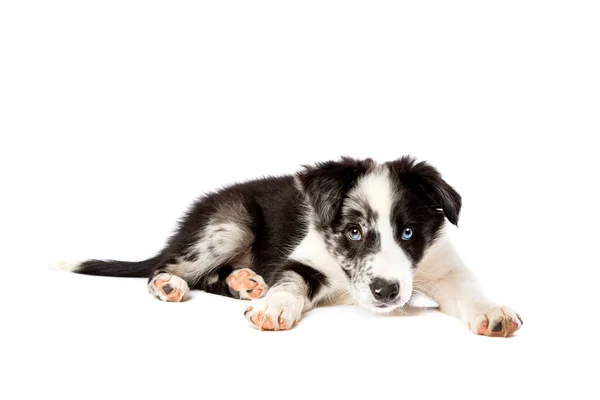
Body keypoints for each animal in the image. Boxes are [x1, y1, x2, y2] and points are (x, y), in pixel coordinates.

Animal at [61, 156, 520, 338]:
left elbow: (470, 290)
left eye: (408, 234)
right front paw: (273, 308)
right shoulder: (305, 259)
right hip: (229, 225)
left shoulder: (444, 266)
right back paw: (171, 285)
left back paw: (245, 281)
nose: (386, 292)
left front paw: (492, 312)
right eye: (354, 232)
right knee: (171, 265)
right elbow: (290, 284)